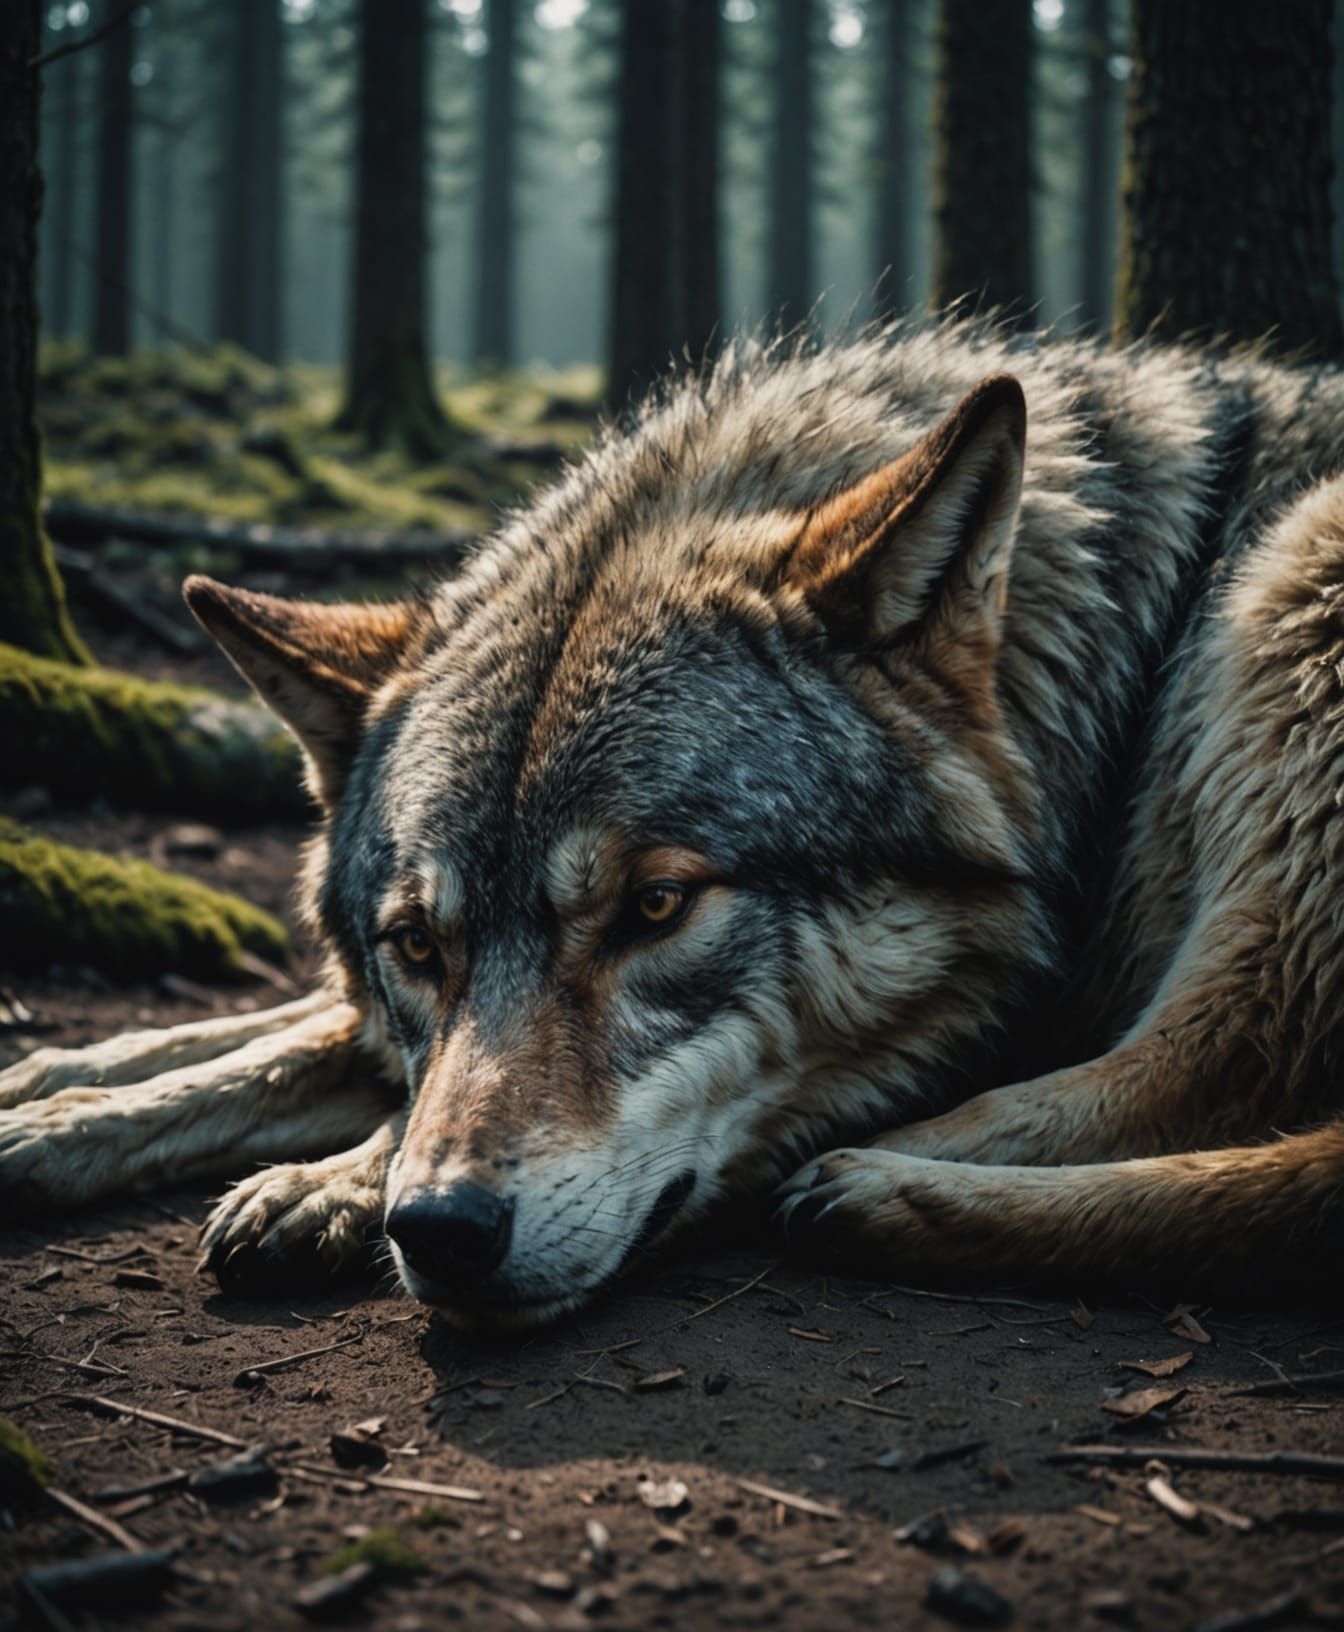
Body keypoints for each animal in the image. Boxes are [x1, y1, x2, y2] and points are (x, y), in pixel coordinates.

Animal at [4, 320, 1344, 1327]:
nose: (438, 1231)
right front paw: (55, 1094)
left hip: (1297, 581)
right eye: (417, 946)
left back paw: (885, 1192)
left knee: (1224, 1075)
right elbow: (278, 1039)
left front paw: (331, 1184)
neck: (1121, 666)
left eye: (656, 907)